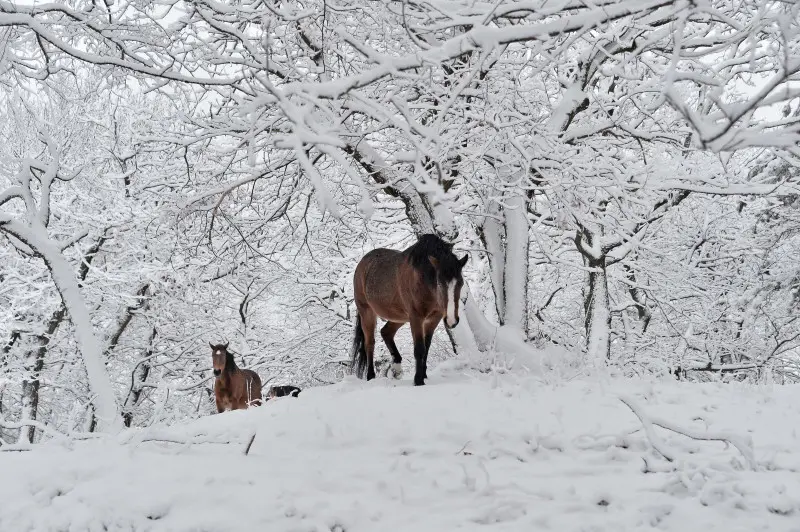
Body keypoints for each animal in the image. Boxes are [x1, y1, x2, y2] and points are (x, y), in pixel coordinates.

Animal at [350, 235, 468, 384]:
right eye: (440, 283)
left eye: (461, 283)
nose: (452, 320)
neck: (423, 279)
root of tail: (362, 263)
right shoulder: (416, 317)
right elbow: (419, 349)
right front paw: (418, 380)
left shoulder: (433, 319)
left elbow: (426, 347)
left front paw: (423, 375)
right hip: (367, 312)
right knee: (369, 343)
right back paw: (370, 376)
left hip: (400, 317)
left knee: (386, 332)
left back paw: (397, 368)